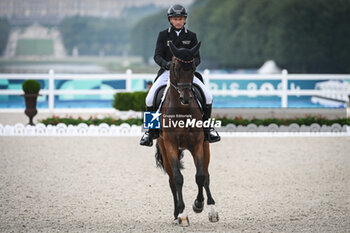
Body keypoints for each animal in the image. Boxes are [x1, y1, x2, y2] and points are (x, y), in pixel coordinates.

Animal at [154, 41, 217, 226]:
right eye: (175, 67)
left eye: (194, 66)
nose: (186, 98)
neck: (181, 110)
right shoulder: (170, 146)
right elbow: (178, 178)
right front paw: (182, 214)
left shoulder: (198, 144)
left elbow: (200, 176)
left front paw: (199, 205)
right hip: (165, 150)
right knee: (171, 181)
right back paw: (176, 213)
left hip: (205, 146)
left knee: (206, 174)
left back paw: (212, 209)